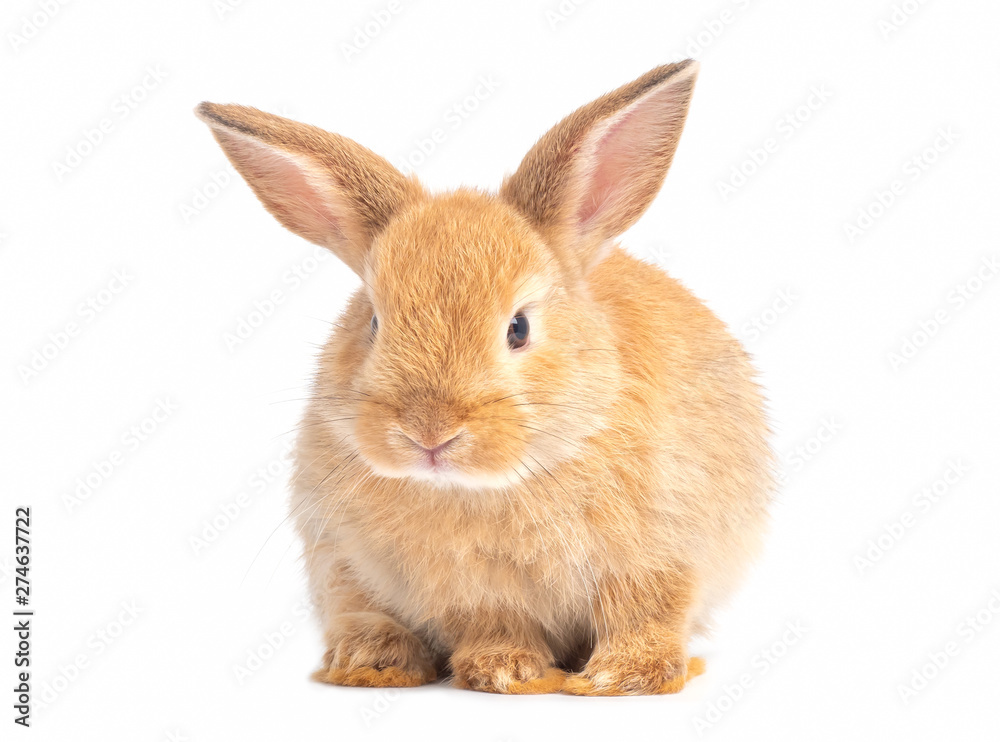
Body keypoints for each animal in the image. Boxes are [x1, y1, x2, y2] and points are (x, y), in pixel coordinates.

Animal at [195, 59, 772, 696]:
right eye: (373, 321)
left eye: (518, 328)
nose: (429, 433)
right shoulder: (472, 593)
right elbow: (497, 622)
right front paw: (506, 671)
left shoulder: (661, 559)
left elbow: (645, 614)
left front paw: (621, 678)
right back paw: (372, 662)